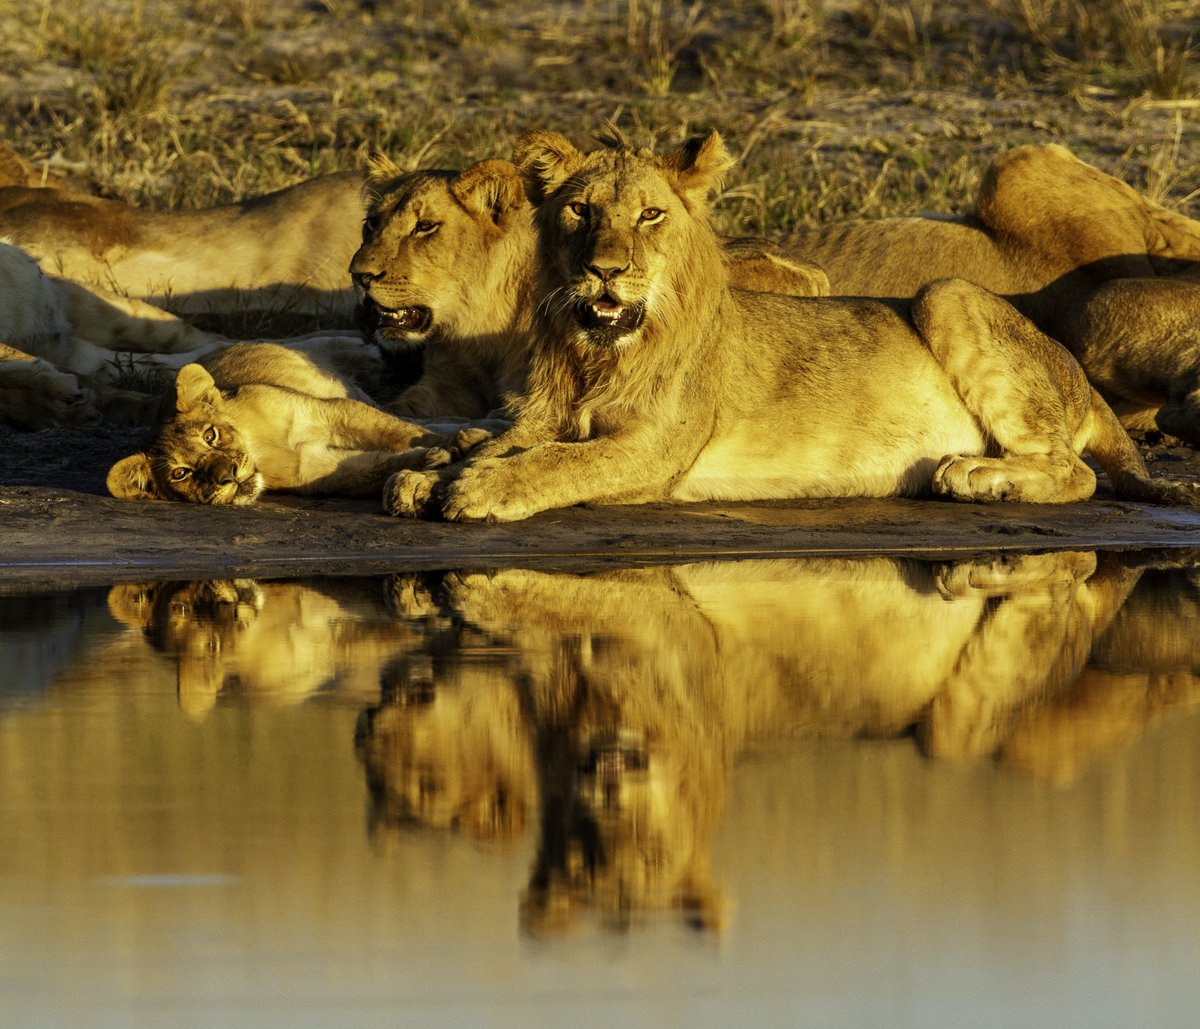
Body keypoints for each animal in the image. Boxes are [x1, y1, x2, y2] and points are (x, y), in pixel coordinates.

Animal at [106, 341, 455, 504]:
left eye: (210, 435)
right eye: (181, 474)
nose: (228, 476)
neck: (259, 445)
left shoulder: (330, 411)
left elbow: (398, 431)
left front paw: (455, 444)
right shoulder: (316, 467)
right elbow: (371, 468)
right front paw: (429, 459)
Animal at [350, 154, 829, 420]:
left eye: (424, 227)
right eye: (371, 224)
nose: (359, 274)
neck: (474, 324)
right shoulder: (444, 384)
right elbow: (396, 410)